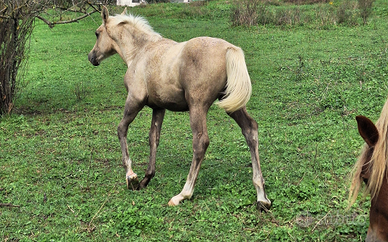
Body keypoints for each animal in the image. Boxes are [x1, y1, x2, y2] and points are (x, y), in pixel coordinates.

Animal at [87, 6, 272, 209]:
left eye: (97, 33)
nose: (91, 57)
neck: (141, 52)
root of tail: (229, 48)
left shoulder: (135, 99)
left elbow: (121, 129)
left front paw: (131, 177)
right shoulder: (158, 107)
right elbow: (153, 138)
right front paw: (146, 179)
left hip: (197, 106)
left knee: (201, 141)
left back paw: (183, 194)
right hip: (231, 104)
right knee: (250, 129)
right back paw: (262, 196)